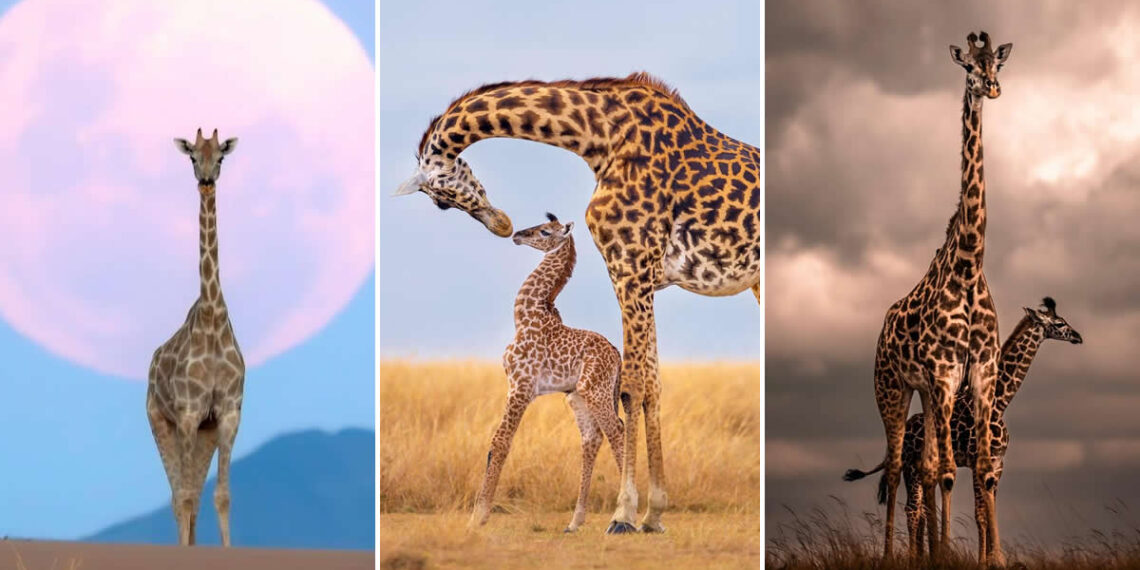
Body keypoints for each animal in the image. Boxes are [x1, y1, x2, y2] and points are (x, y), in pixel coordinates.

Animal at [471, 213, 626, 533]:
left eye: (544, 231)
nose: (517, 235)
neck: (525, 317)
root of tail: (616, 354)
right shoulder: (521, 387)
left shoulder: (521, 386)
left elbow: (500, 442)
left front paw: (478, 516)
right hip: (578, 396)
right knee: (592, 438)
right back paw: (575, 522)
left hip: (596, 391)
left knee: (617, 430)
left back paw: (623, 517)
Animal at [847, 297, 1082, 562]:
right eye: (1059, 323)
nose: (1078, 336)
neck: (1000, 402)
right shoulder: (978, 460)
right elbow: (980, 514)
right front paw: (986, 562)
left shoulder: (998, 463)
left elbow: (987, 511)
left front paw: (993, 559)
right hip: (910, 467)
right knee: (913, 509)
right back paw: (915, 557)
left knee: (919, 510)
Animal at [869, 32, 1012, 561]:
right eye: (968, 66)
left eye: (997, 63)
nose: (991, 87)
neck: (969, 266)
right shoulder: (947, 373)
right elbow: (951, 473)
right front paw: (948, 556)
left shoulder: (981, 372)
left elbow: (979, 472)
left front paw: (985, 561)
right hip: (893, 387)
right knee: (895, 469)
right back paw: (891, 557)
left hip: (928, 396)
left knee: (925, 466)